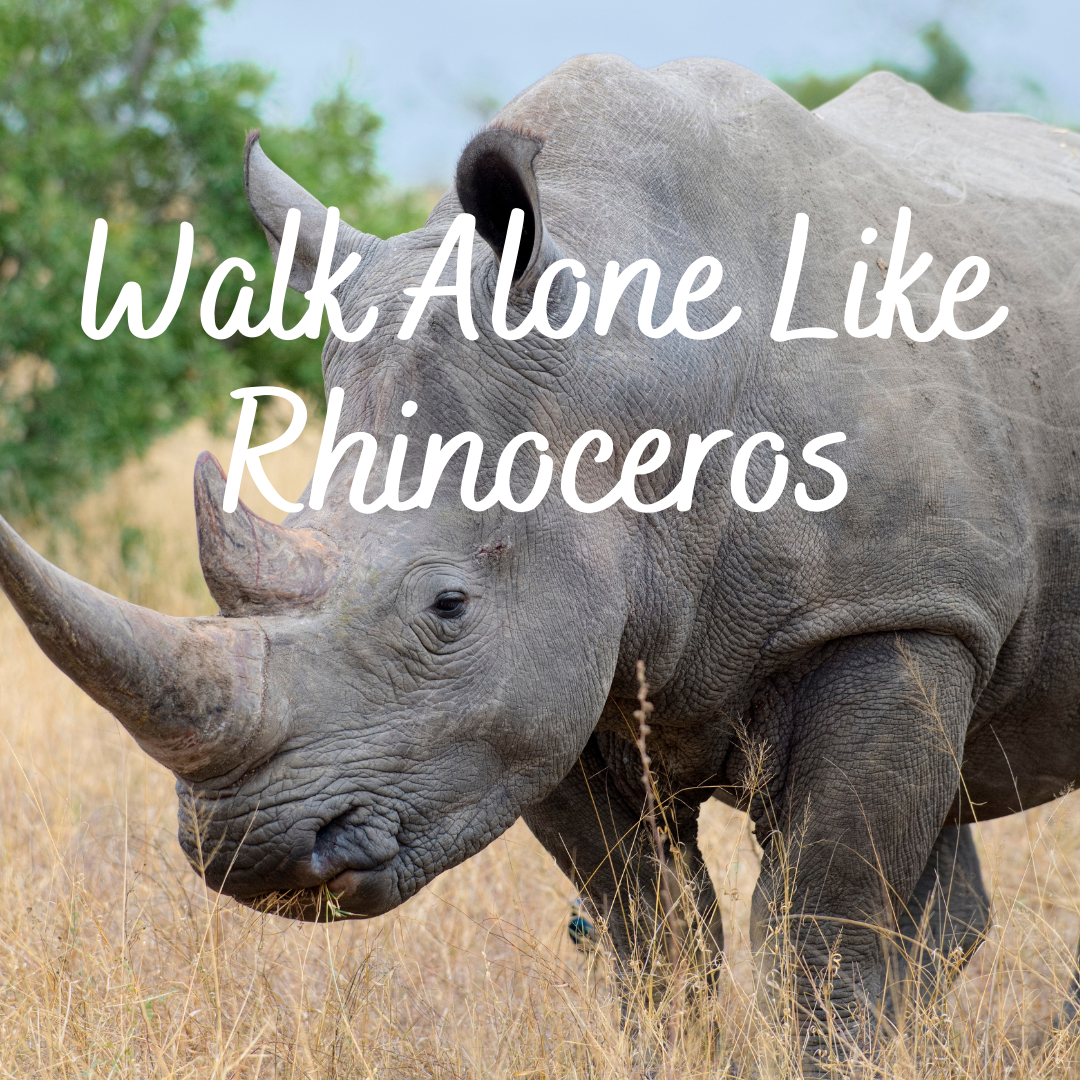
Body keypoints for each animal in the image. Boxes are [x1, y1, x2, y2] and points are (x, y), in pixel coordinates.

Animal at [2, 53, 1079, 1060]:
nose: (251, 850)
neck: (625, 368)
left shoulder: (895, 610)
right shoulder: (539, 684)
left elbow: (826, 938)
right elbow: (656, 938)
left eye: (448, 606)